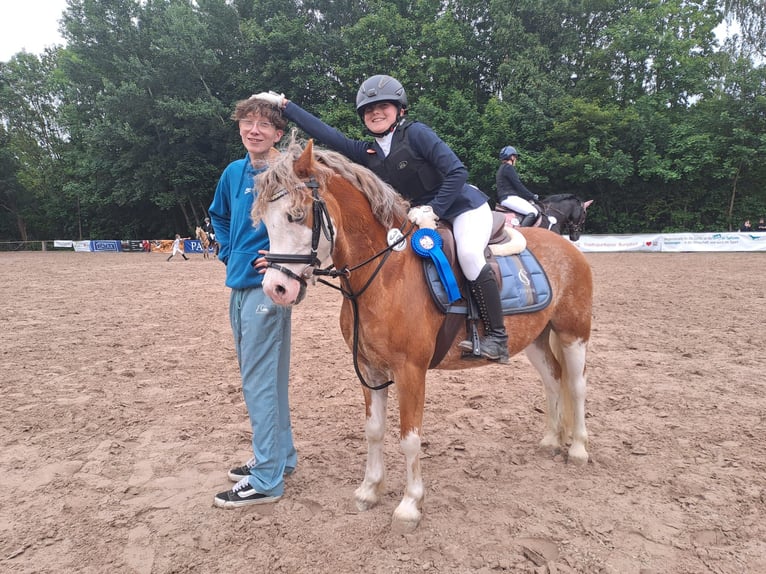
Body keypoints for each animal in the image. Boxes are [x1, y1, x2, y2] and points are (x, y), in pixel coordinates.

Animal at [252, 140, 593, 530]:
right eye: (265, 220)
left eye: (296, 215)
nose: (276, 288)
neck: (384, 273)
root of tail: (567, 247)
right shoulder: (369, 370)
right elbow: (374, 430)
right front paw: (369, 490)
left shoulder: (410, 371)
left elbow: (410, 439)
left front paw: (409, 505)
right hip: (537, 338)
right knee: (553, 380)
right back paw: (552, 441)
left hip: (573, 333)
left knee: (576, 385)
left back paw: (578, 449)